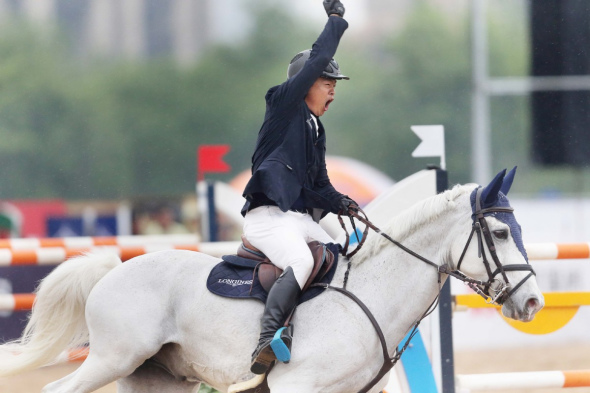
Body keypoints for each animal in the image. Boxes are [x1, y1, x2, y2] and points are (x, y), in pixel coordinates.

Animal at [0, 172, 544, 392]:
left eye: (519, 229)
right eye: (500, 232)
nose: (534, 302)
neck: (371, 296)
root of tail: (113, 269)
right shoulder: (296, 385)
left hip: (154, 377)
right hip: (113, 358)